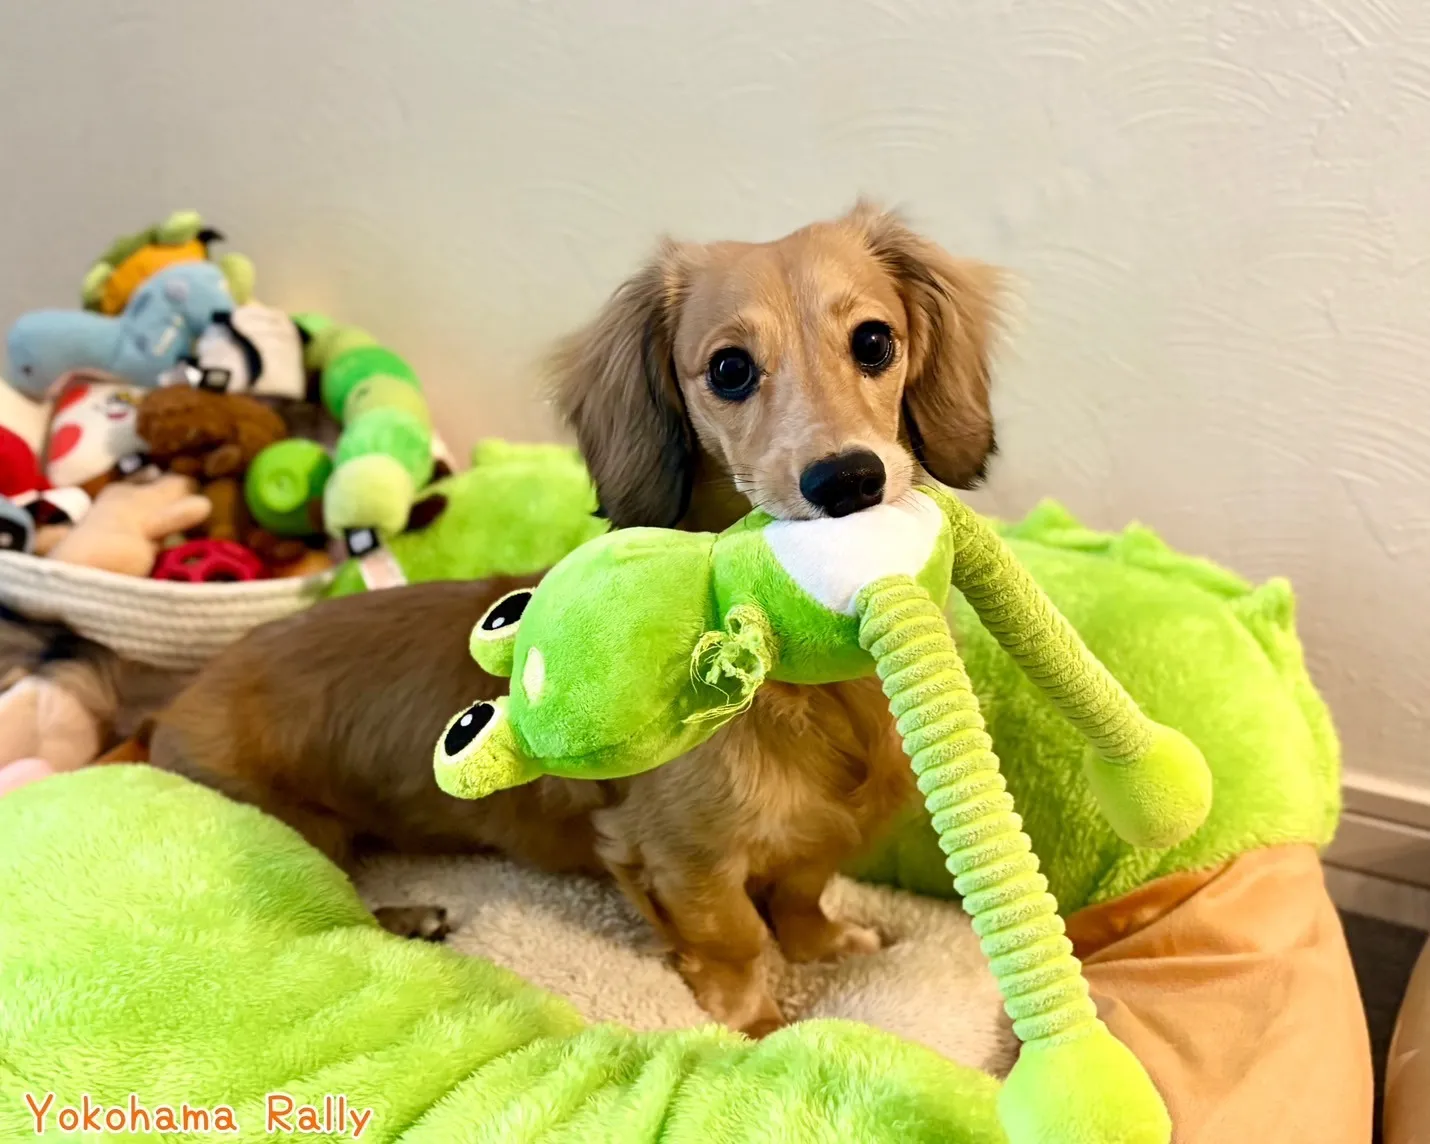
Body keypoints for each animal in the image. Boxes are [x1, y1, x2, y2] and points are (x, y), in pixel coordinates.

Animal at [150, 201, 1002, 1034]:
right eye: (729, 369)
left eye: (874, 341)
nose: (849, 479)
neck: (808, 696)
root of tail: (173, 702)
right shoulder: (681, 856)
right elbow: (732, 936)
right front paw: (756, 1027)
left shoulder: (814, 838)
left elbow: (800, 896)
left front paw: (827, 946)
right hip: (293, 834)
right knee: (333, 909)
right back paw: (410, 918)